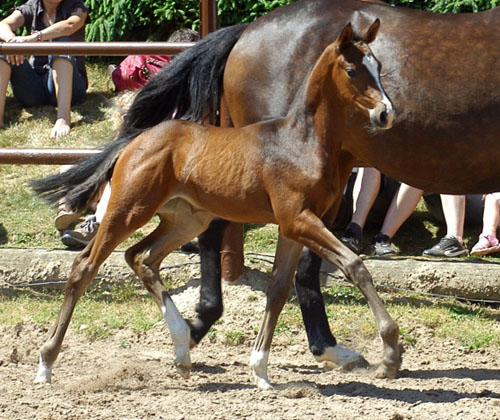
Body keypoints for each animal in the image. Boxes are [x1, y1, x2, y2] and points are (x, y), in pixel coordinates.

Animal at [32, 18, 398, 388]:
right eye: (352, 70)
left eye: (379, 66)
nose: (386, 113)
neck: (302, 143)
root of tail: (135, 141)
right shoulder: (299, 220)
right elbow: (354, 266)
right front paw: (390, 354)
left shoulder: (295, 226)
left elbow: (279, 288)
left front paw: (260, 370)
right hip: (129, 209)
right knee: (86, 266)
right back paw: (46, 363)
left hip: (186, 220)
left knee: (141, 257)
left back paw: (182, 349)